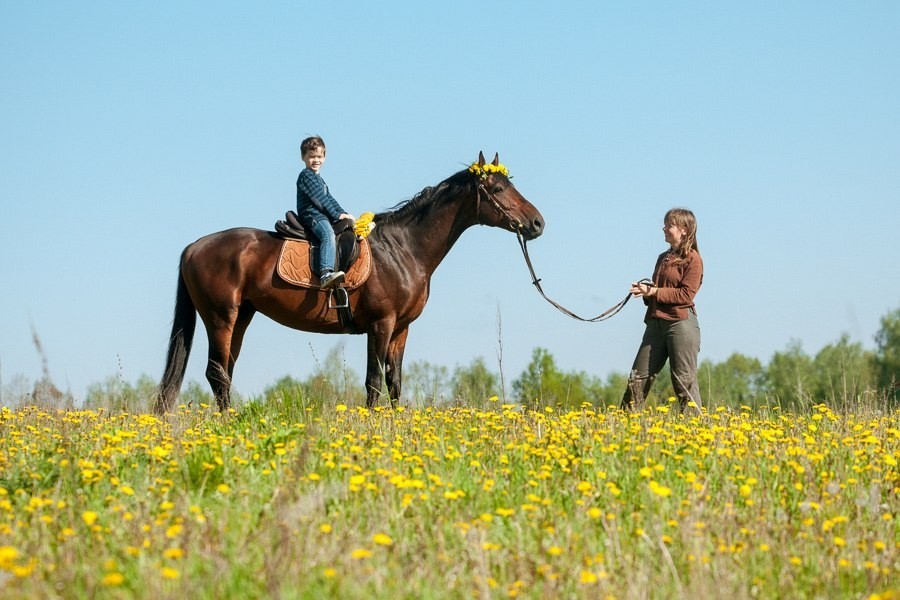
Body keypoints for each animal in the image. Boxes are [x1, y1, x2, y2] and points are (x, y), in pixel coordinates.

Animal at [155, 152, 544, 412]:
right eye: (497, 188)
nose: (537, 223)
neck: (402, 249)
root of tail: (194, 247)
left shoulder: (401, 329)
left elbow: (394, 383)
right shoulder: (381, 324)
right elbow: (373, 383)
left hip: (242, 317)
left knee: (224, 372)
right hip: (221, 317)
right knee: (216, 373)